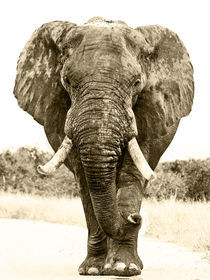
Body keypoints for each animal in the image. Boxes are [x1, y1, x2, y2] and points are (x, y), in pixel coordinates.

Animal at [12, 16, 194, 276]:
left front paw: (124, 268)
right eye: (67, 81)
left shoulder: (149, 107)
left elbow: (132, 172)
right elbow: (84, 180)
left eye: (136, 83)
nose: (135, 218)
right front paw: (93, 270)